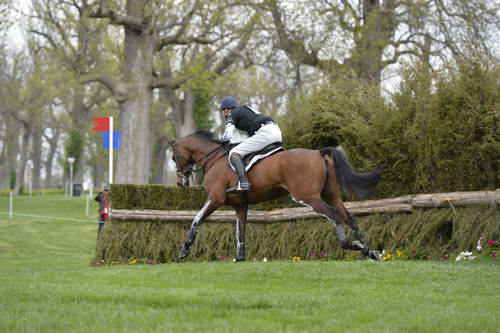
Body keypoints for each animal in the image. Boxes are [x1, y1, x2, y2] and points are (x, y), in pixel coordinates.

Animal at [168, 131, 382, 260]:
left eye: (174, 157)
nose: (180, 183)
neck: (214, 159)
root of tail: (318, 152)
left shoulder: (215, 198)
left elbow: (196, 219)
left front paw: (184, 249)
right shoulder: (240, 206)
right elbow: (240, 231)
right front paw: (239, 258)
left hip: (307, 197)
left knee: (333, 215)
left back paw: (349, 245)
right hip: (331, 195)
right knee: (348, 216)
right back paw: (368, 251)